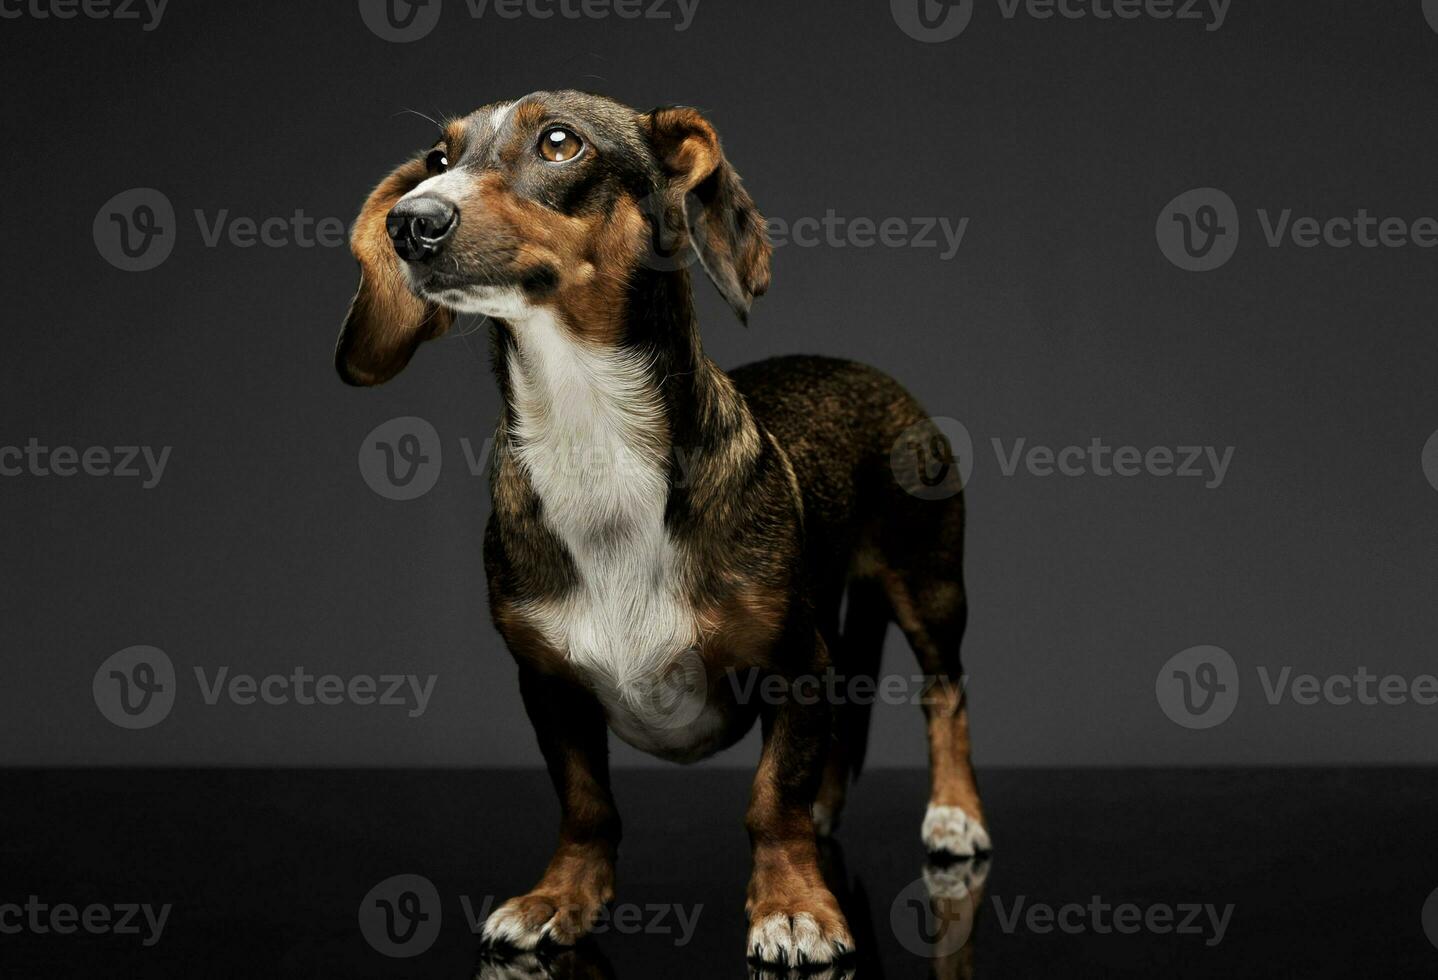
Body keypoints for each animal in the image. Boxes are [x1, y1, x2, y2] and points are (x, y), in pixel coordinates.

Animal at [336, 89, 989, 959]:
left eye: (560, 142)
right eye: (438, 161)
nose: (410, 222)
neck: (593, 440)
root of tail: (866, 373)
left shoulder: (794, 663)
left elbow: (770, 798)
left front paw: (794, 906)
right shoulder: (547, 685)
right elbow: (586, 803)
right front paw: (561, 897)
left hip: (929, 586)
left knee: (945, 694)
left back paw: (953, 814)